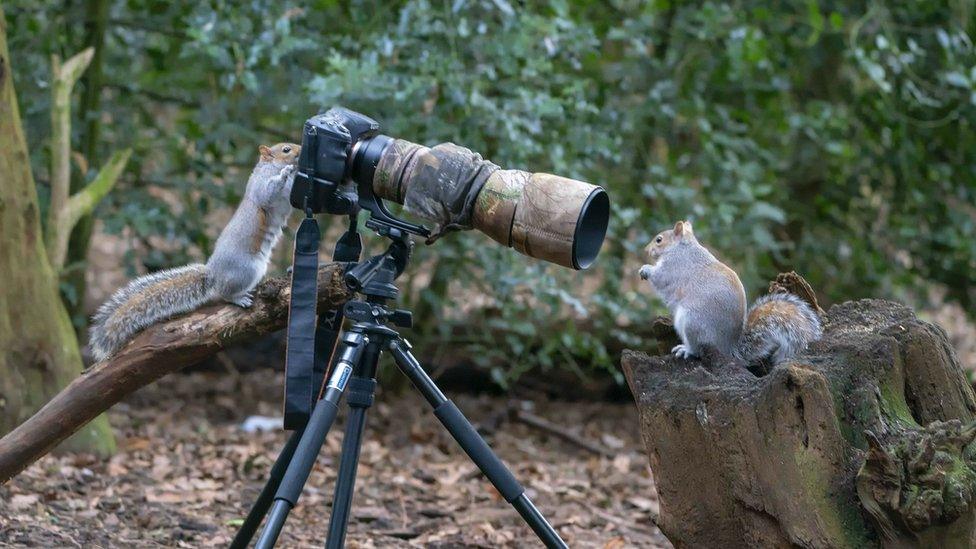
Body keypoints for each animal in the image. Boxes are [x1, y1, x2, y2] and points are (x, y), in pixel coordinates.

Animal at [87, 143, 302, 362]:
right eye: (286, 149)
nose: (300, 149)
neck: (270, 167)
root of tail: (214, 273)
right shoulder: (261, 187)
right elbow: (268, 193)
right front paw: (286, 172)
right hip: (247, 269)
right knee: (225, 292)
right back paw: (238, 298)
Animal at [636, 220, 820, 366]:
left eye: (659, 240)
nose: (645, 250)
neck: (682, 246)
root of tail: (728, 349)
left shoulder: (673, 266)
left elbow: (660, 277)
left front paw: (646, 269)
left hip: (691, 322)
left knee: (698, 349)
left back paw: (686, 350)